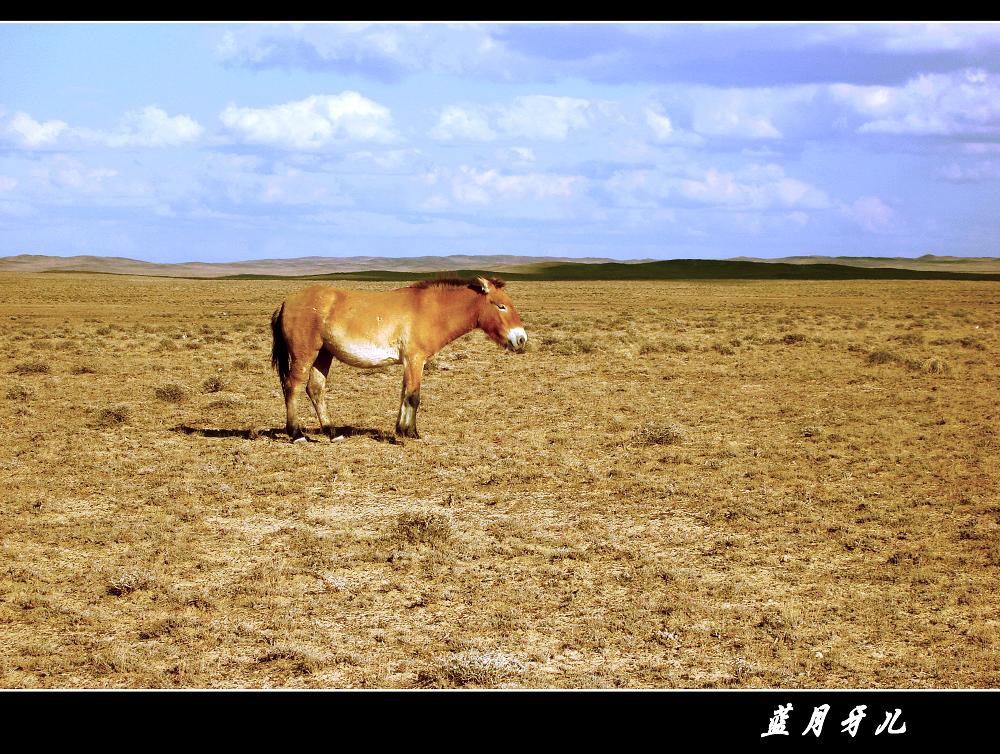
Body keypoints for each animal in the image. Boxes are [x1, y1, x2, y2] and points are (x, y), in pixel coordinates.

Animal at [270, 276, 528, 440]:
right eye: (501, 306)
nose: (521, 339)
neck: (431, 311)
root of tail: (286, 302)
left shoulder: (409, 363)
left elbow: (404, 394)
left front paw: (401, 429)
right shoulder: (415, 360)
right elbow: (414, 396)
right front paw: (411, 433)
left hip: (323, 355)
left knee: (315, 389)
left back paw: (332, 433)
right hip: (305, 354)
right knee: (293, 386)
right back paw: (296, 434)